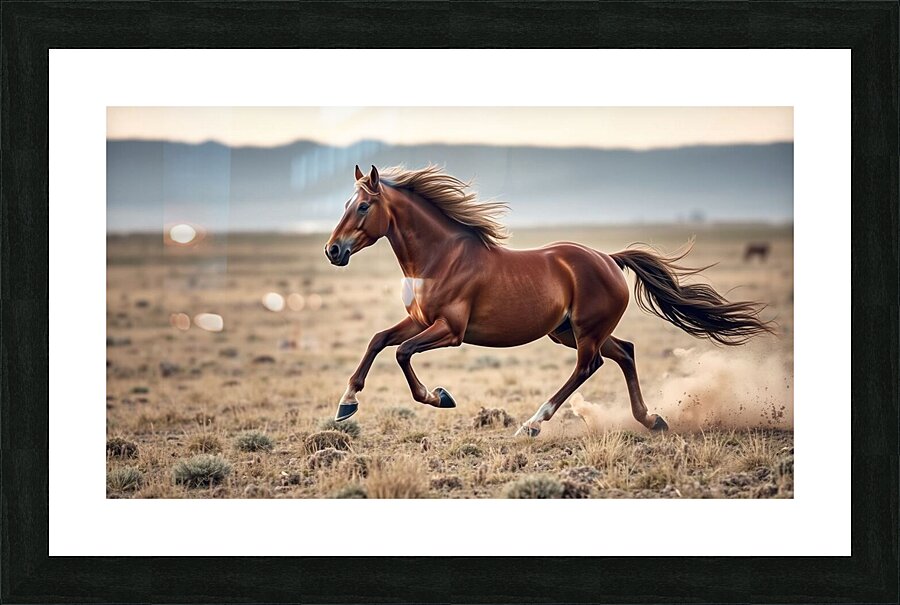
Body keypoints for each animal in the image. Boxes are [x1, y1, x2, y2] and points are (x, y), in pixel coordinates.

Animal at [324, 165, 772, 437]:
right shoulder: (419, 320)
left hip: (584, 332)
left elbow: (402, 353)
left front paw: (440, 397)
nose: (333, 251)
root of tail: (609, 259)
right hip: (569, 331)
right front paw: (346, 405)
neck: (441, 257)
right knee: (624, 352)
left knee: (589, 366)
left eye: (363, 206)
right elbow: (379, 341)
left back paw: (533, 424)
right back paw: (652, 419)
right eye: (345, 204)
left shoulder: (450, 331)